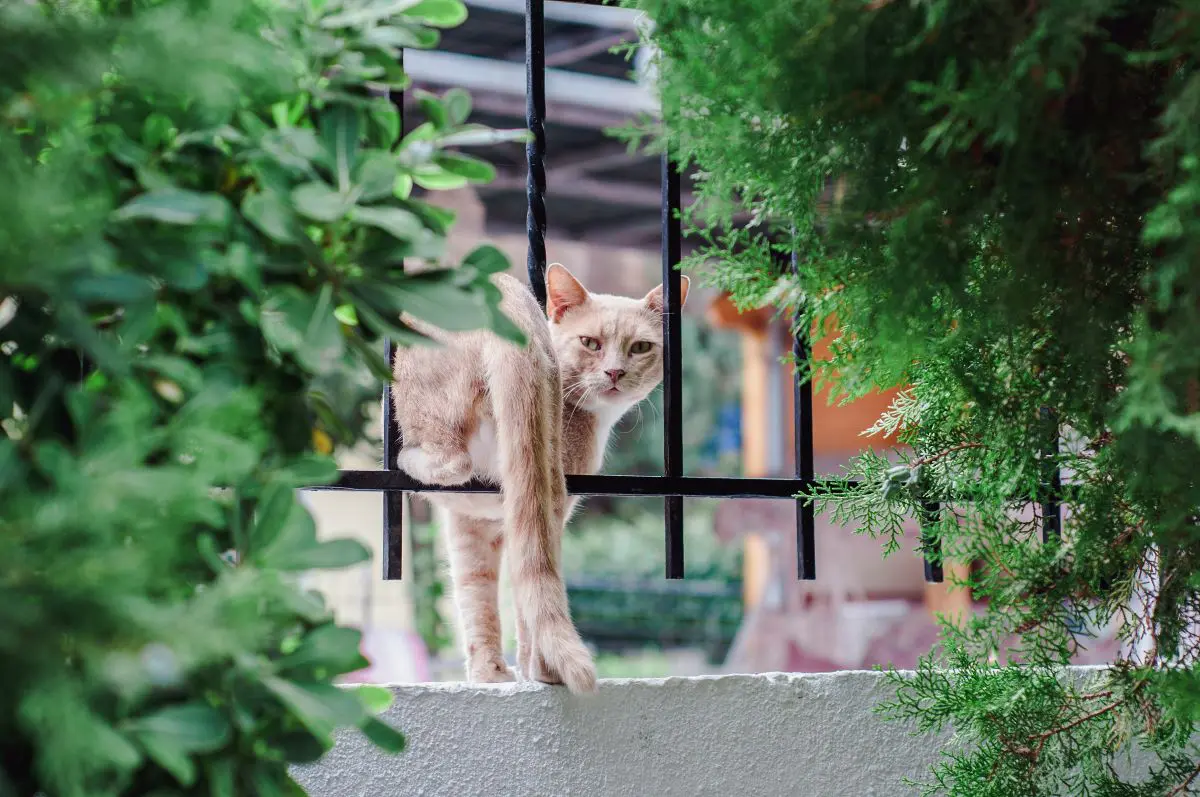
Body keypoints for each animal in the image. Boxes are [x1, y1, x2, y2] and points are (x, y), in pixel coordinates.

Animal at [391, 264, 691, 696]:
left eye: (639, 347)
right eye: (590, 343)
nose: (615, 371)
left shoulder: (489, 520)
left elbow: (489, 597)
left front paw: (513, 672)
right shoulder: (487, 521)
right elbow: (483, 598)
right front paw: (503, 673)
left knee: (451, 461)